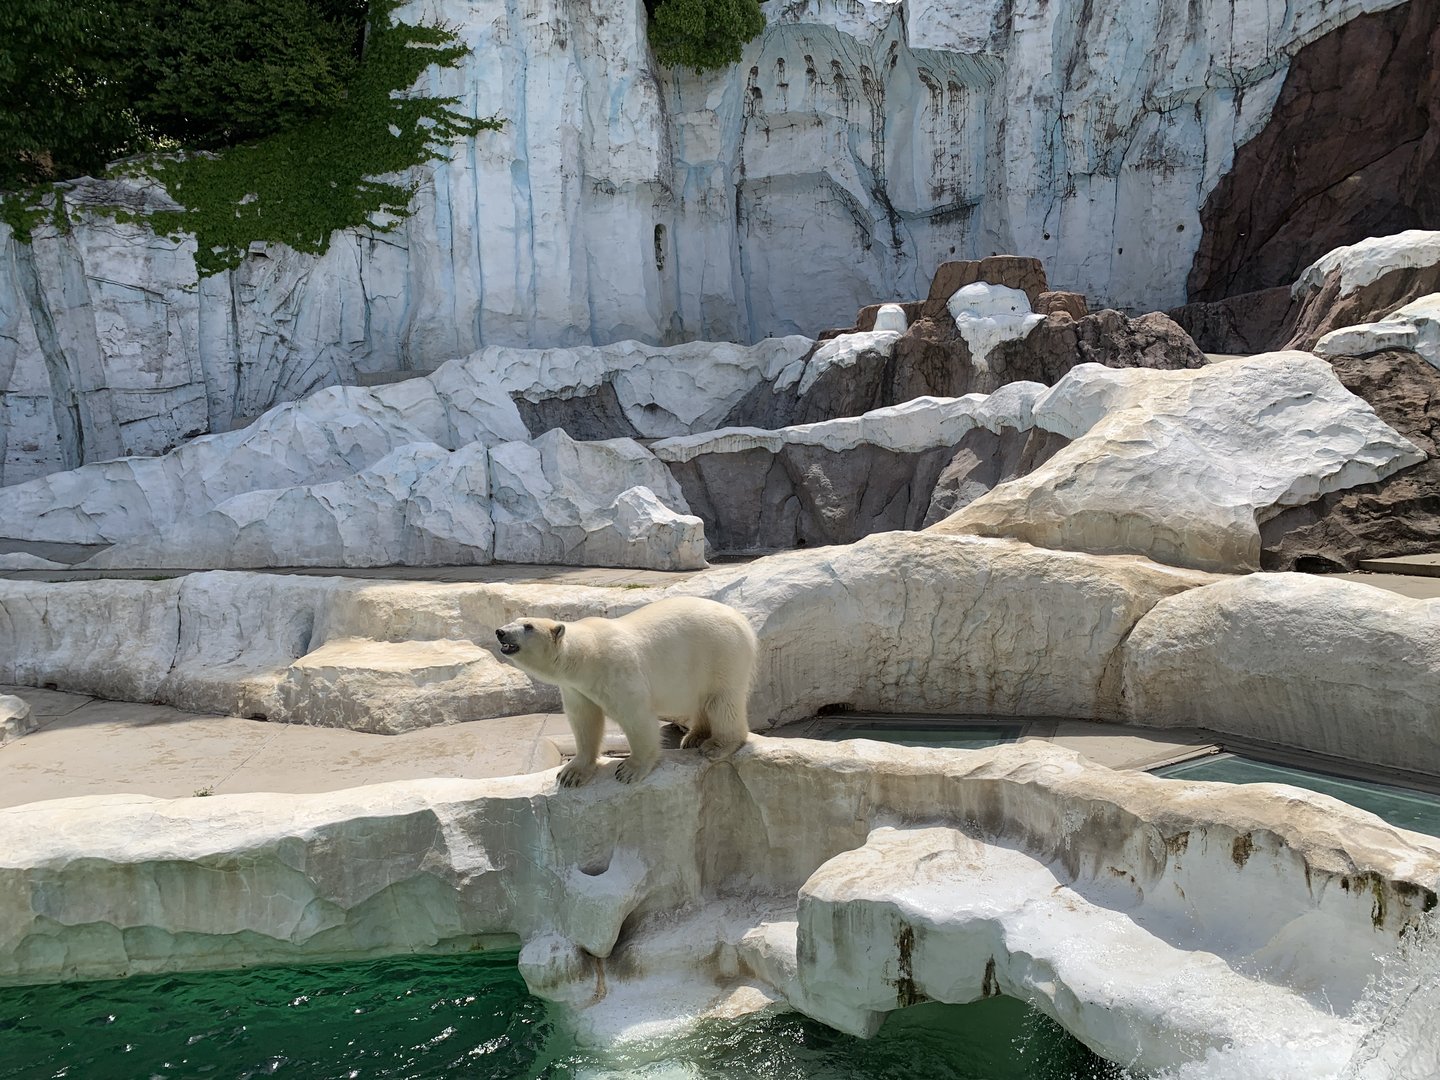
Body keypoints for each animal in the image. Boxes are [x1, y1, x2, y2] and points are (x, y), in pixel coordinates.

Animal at [495, 596, 758, 787]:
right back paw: (694, 737)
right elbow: (584, 721)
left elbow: (636, 717)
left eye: (528, 626)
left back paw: (716, 745)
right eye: (516, 620)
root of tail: (743, 621)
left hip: (721, 652)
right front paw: (571, 773)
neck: (586, 656)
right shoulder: (575, 688)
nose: (500, 631)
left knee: (722, 699)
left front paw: (629, 770)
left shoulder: (617, 670)